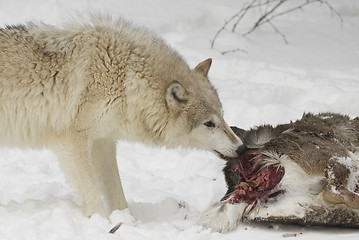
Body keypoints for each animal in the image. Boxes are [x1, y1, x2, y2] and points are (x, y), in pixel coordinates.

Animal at [0, 16, 245, 216]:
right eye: (209, 123)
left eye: (223, 117)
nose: (242, 148)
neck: (126, 80)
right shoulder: (71, 141)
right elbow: (92, 194)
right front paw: (103, 224)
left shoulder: (103, 142)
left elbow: (117, 194)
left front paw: (128, 223)